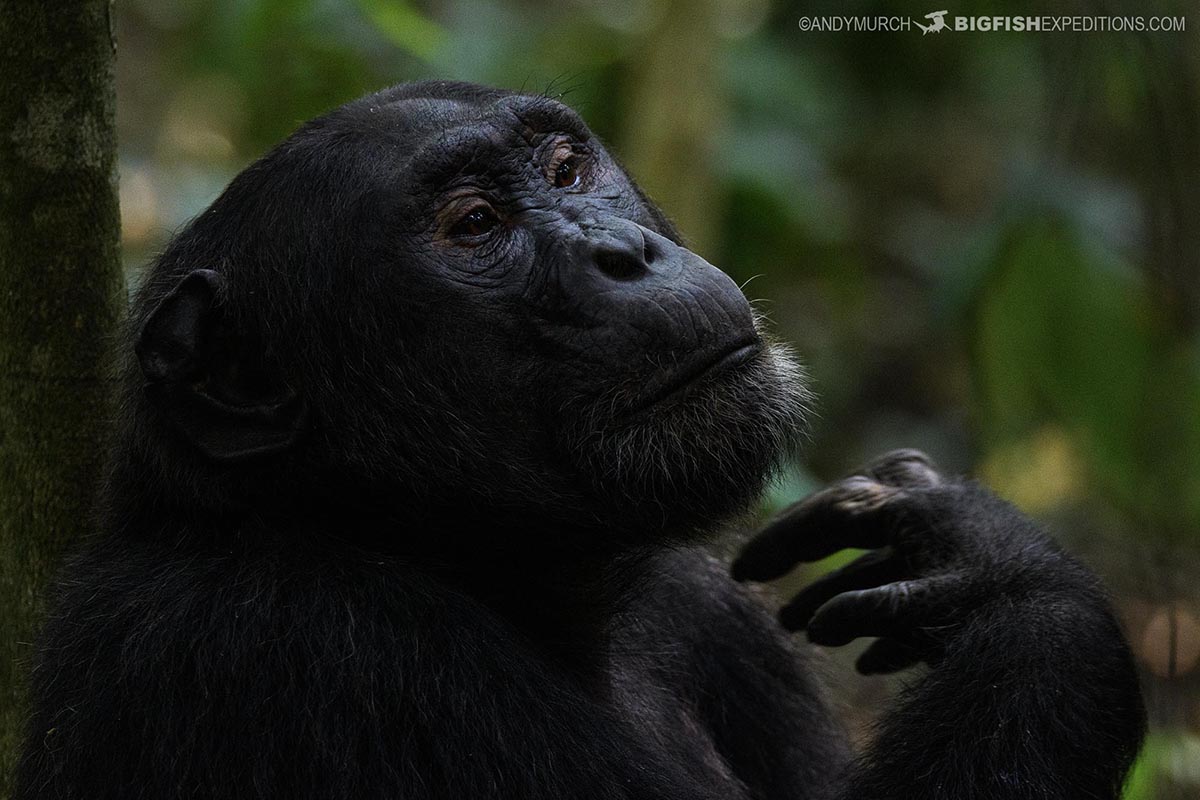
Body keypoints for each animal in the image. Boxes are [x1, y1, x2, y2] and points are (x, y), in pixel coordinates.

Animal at [16, 81, 1142, 800]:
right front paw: (1011, 577)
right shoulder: (309, 652)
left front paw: (956, 543)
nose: (624, 251)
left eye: (564, 165)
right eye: (473, 225)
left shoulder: (703, 608)